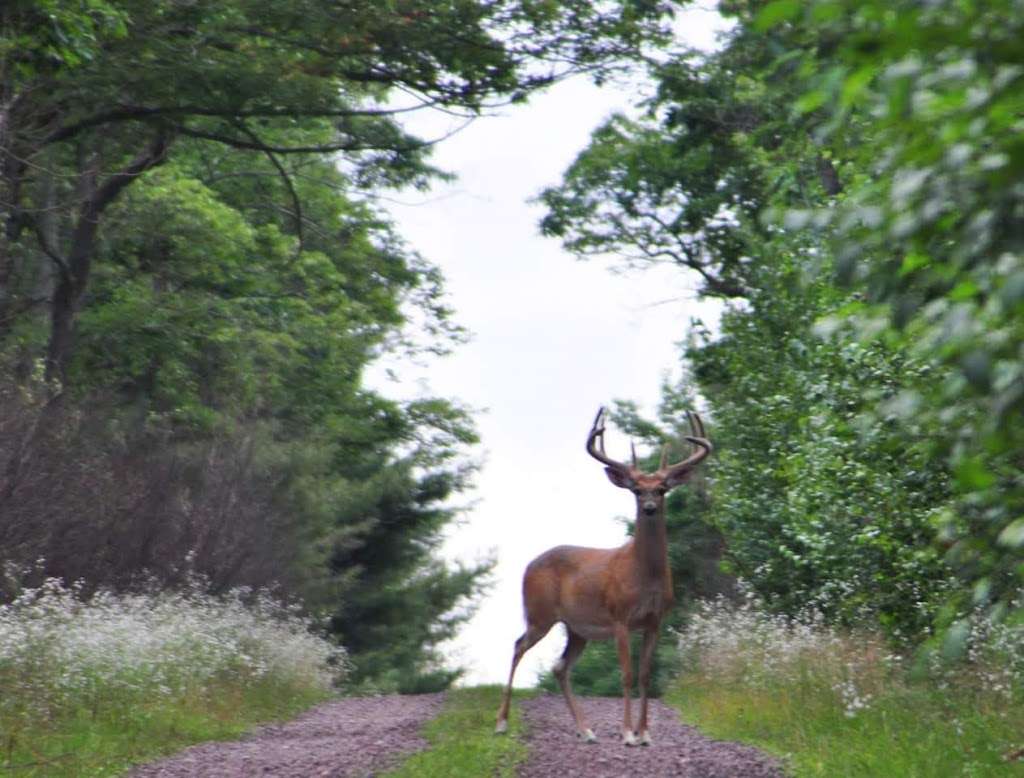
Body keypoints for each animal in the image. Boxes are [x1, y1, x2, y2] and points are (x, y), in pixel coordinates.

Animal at [491, 403, 708, 745]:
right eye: (636, 490)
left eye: (661, 489)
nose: (649, 507)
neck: (645, 578)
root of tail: (528, 566)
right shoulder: (619, 616)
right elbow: (627, 674)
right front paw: (628, 733)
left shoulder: (655, 621)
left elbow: (645, 675)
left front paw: (645, 733)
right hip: (539, 613)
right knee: (517, 646)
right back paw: (501, 723)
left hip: (577, 628)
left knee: (560, 667)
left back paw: (586, 730)